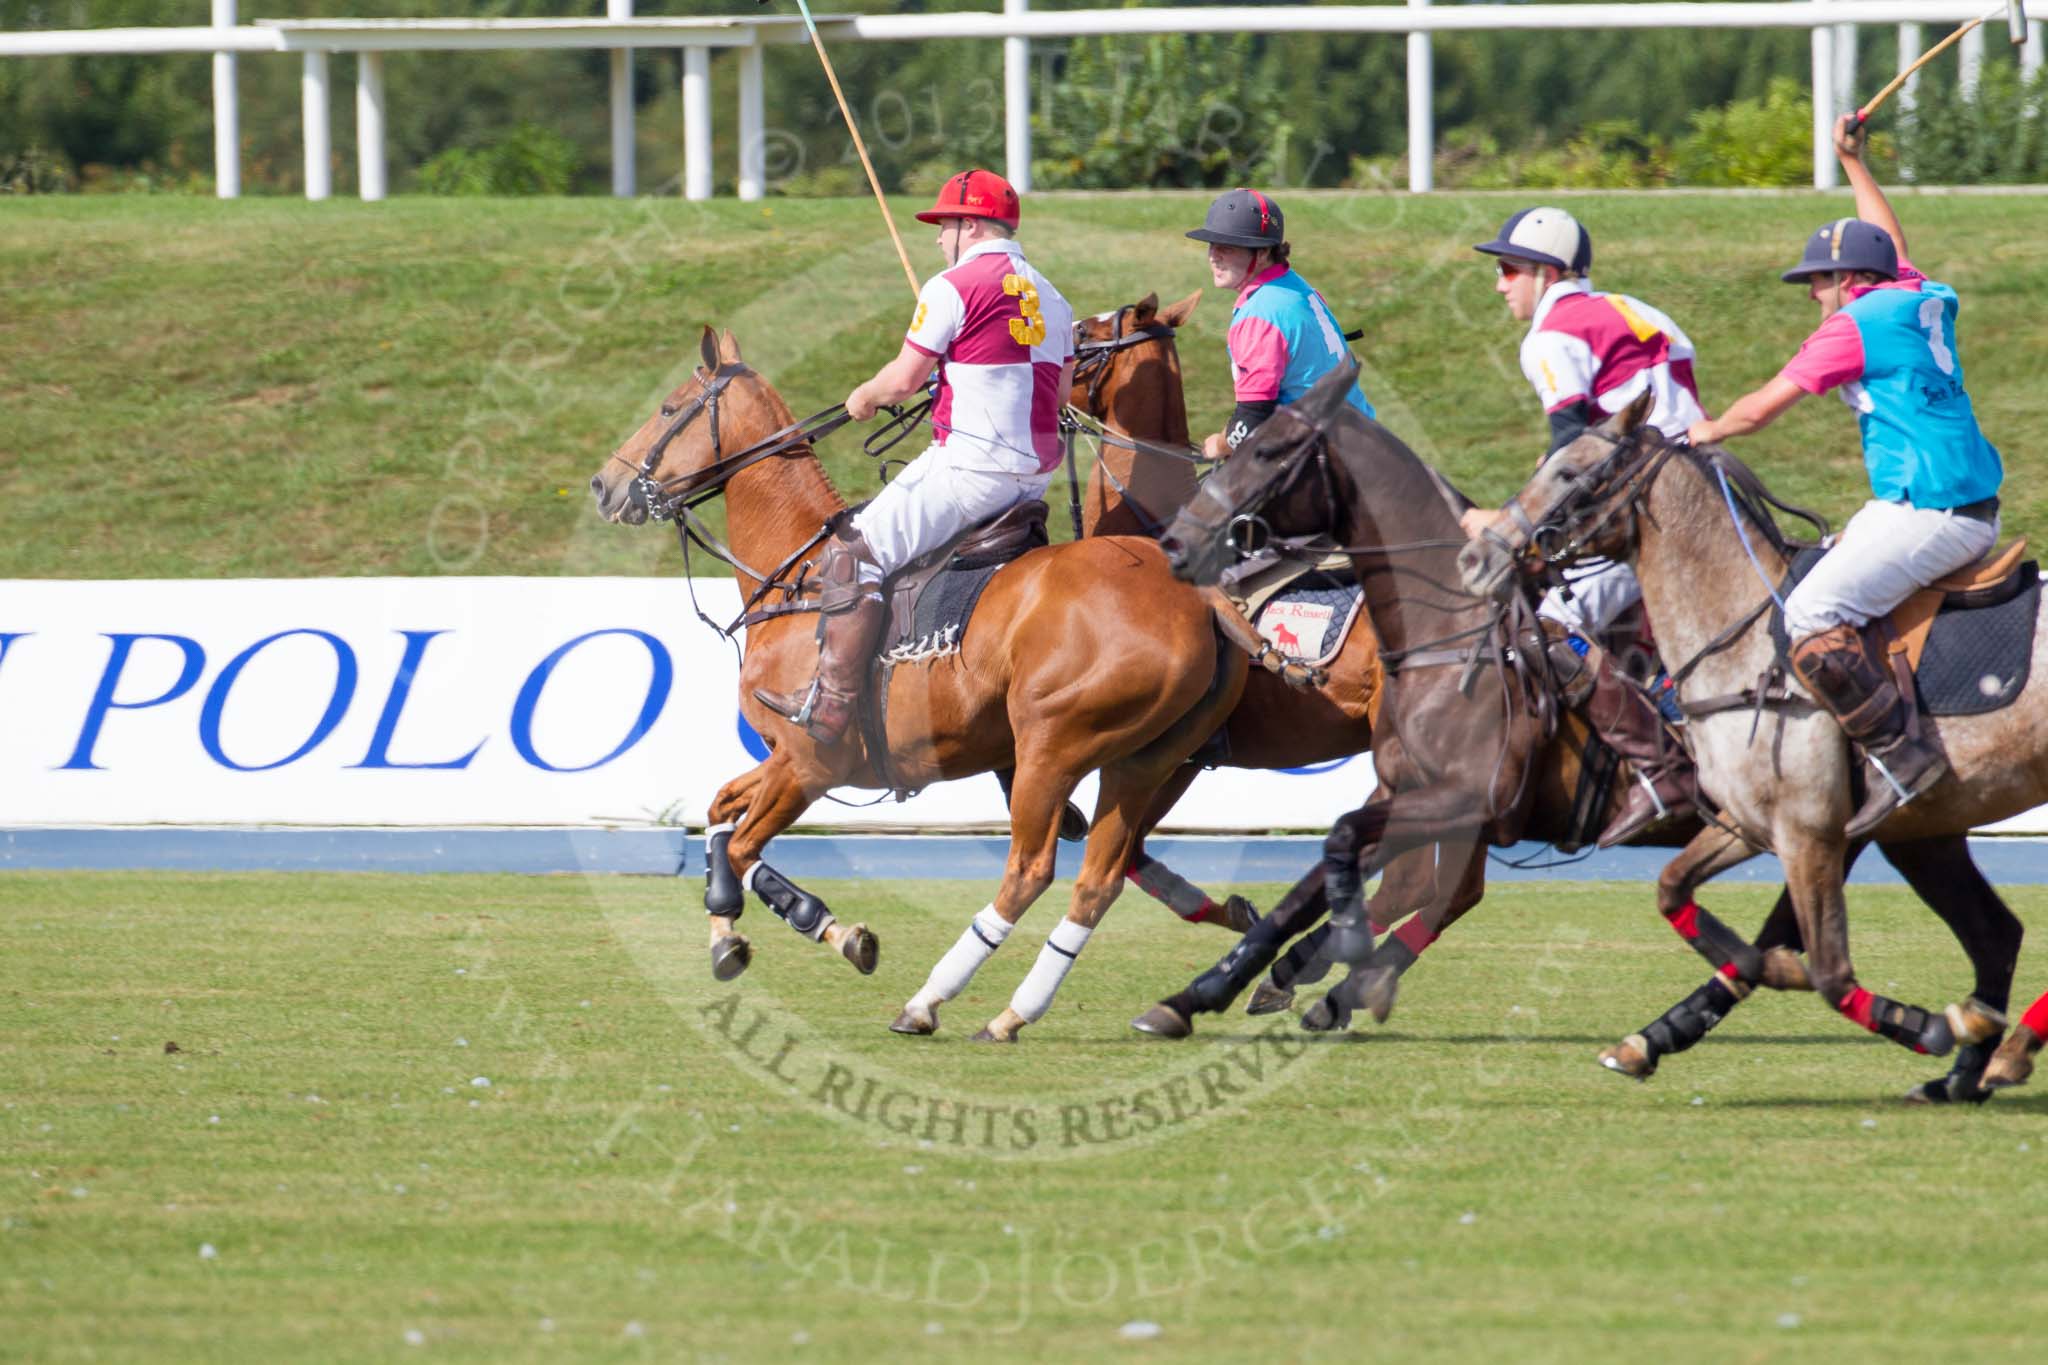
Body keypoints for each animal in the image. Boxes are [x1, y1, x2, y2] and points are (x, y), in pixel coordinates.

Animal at [593, 331, 1245, 1047]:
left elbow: (739, 846)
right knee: (1098, 880)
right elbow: (719, 812)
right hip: (1144, 760)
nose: (604, 484)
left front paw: (784, 928)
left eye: (667, 407)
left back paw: (930, 1001)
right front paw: (762, 932)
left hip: (1052, 748)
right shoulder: (785, 758)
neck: (799, 576)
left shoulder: (810, 763)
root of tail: (1198, 599)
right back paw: (1018, 1009)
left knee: (1030, 869)